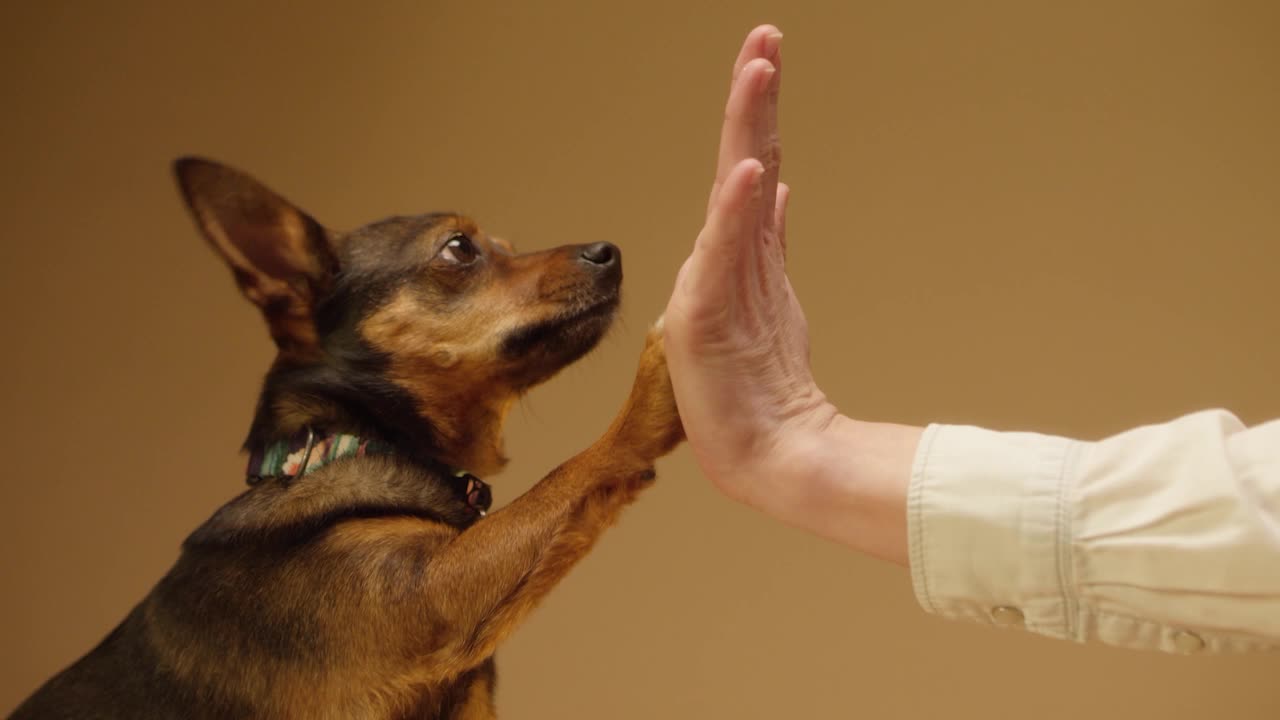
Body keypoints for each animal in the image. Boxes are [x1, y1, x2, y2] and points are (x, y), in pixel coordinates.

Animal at [10, 158, 686, 717]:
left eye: (507, 248)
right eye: (460, 249)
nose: (609, 251)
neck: (351, 441)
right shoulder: (434, 594)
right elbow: (570, 472)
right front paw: (658, 385)